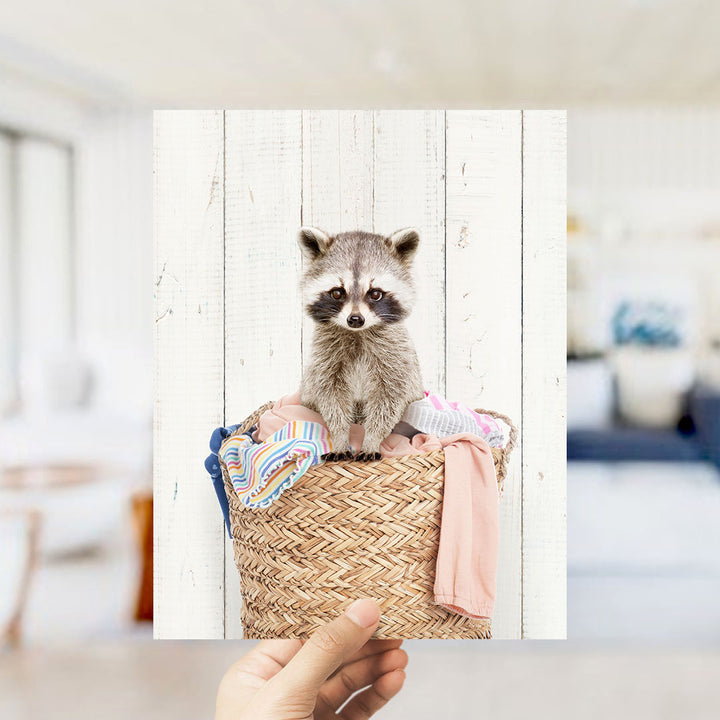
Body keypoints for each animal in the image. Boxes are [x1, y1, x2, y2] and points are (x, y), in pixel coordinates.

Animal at [298, 227, 424, 460]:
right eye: (337, 292)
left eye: (375, 293)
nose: (355, 319)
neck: (357, 333)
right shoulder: (324, 357)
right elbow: (331, 397)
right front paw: (340, 437)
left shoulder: (396, 356)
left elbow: (389, 399)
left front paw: (372, 439)